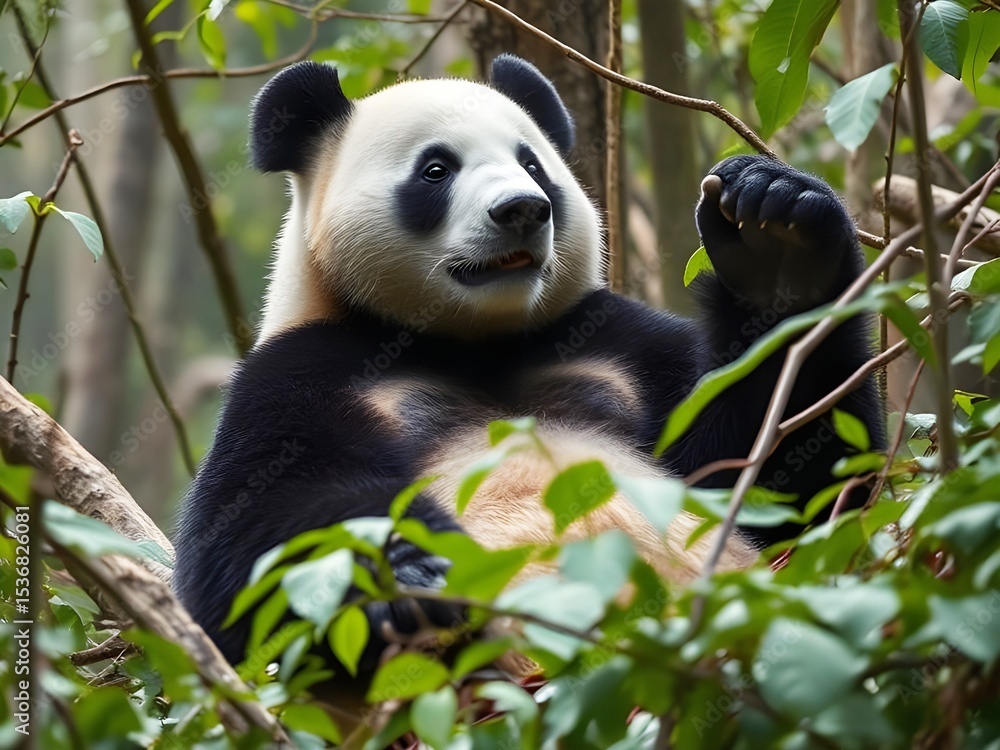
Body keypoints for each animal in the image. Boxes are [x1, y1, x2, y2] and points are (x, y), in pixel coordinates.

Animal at [173, 55, 883, 680]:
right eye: (436, 169)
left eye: (532, 163)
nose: (521, 207)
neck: (475, 338)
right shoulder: (298, 367)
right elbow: (253, 526)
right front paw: (407, 575)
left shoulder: (621, 343)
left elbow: (784, 474)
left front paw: (776, 238)